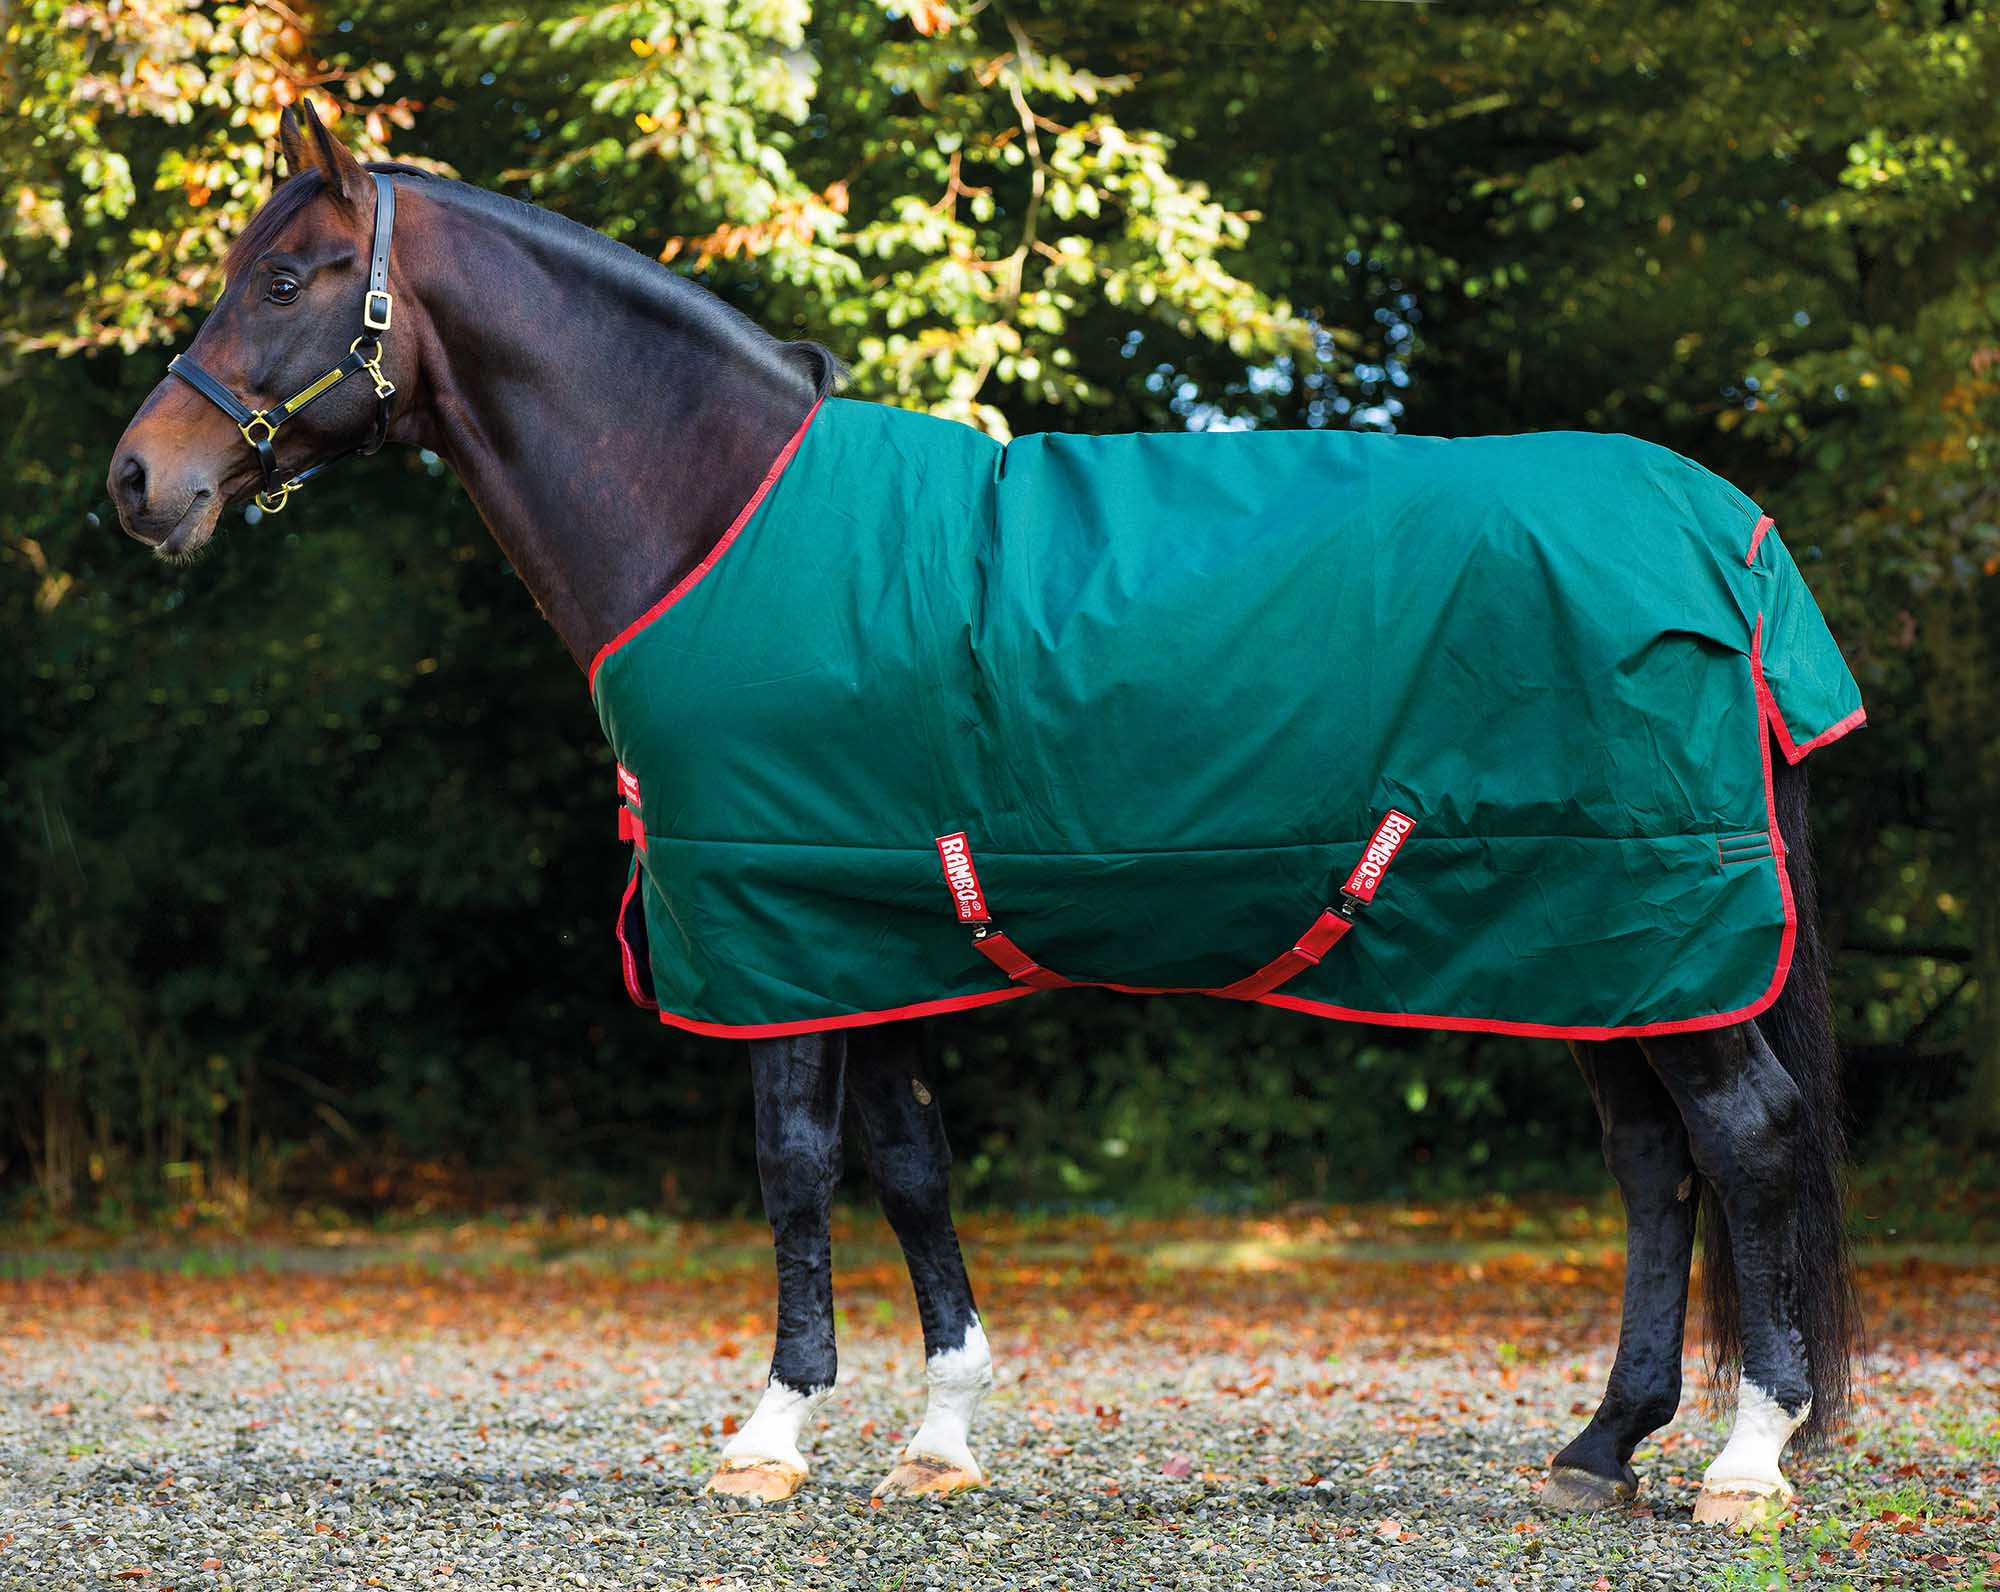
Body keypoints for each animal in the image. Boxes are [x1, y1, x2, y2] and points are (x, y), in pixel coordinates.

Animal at [108, 102, 1860, 1527]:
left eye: (290, 279)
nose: (139, 482)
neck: (716, 512)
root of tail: (1734, 538)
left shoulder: (775, 920)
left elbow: (795, 1162)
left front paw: (772, 1434)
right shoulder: (859, 924)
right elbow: (909, 1163)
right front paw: (939, 1437)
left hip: (1650, 918)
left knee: (1749, 1136)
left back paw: (1746, 1460)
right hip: (1599, 945)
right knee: (1656, 1162)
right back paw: (1602, 1446)